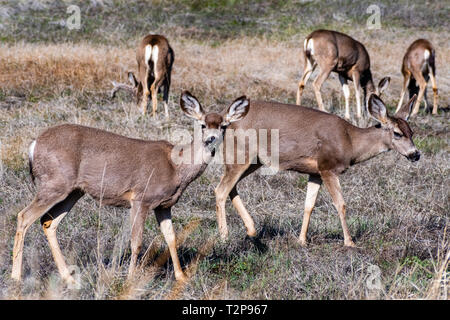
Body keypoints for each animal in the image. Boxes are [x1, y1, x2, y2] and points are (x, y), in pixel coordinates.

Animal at [11, 91, 250, 284]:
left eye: (223, 126)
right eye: (202, 125)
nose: (211, 140)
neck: (176, 167)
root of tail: (34, 145)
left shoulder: (164, 205)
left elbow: (171, 238)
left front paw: (181, 277)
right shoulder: (140, 198)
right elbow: (136, 242)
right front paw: (130, 278)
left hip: (73, 191)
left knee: (48, 222)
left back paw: (67, 278)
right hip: (54, 183)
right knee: (24, 216)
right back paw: (16, 277)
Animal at [214, 91, 418, 249]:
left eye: (412, 132)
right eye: (397, 133)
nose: (416, 154)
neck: (350, 142)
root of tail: (226, 117)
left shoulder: (315, 172)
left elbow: (309, 205)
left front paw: (302, 240)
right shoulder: (328, 167)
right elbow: (341, 204)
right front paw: (350, 242)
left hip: (254, 161)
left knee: (230, 188)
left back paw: (251, 230)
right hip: (241, 153)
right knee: (221, 189)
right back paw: (224, 237)